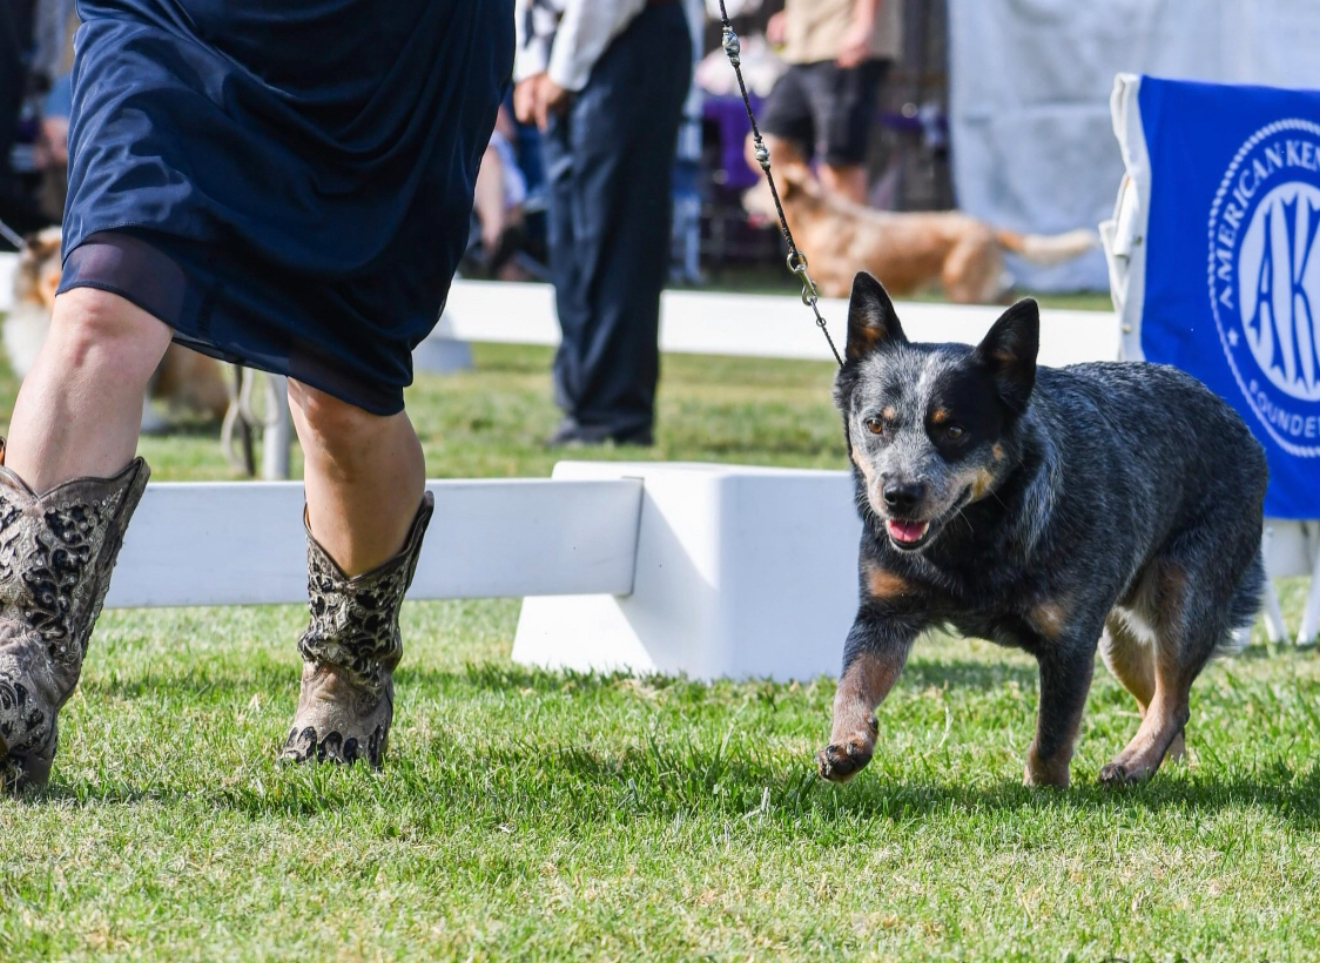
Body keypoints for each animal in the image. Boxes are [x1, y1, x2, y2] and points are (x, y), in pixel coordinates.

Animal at [742, 151, 1096, 304]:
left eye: (759, 188)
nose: (742, 197)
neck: (818, 218)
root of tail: (988, 227)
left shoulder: (840, 286)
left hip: (961, 283)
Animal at [819, 272, 1267, 787]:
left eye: (954, 430)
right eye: (875, 424)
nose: (898, 494)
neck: (973, 543)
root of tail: (1237, 419)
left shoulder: (1069, 641)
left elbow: (1054, 732)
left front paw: (1046, 788)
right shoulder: (884, 615)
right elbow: (852, 684)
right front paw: (848, 742)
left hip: (1183, 596)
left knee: (1173, 699)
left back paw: (1133, 763)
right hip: (1119, 638)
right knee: (1157, 693)